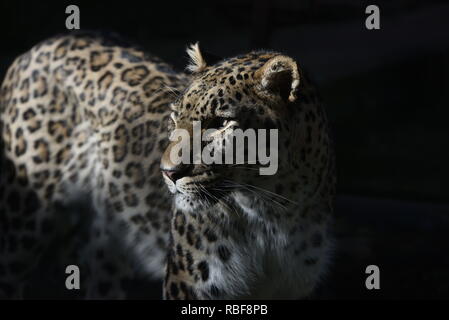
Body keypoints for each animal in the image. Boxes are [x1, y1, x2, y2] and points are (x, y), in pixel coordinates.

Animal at [0, 31, 334, 298]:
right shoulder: (189, 286)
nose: (168, 173)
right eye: (175, 117)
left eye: (221, 123)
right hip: (22, 222)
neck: (271, 211)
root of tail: (44, 44)